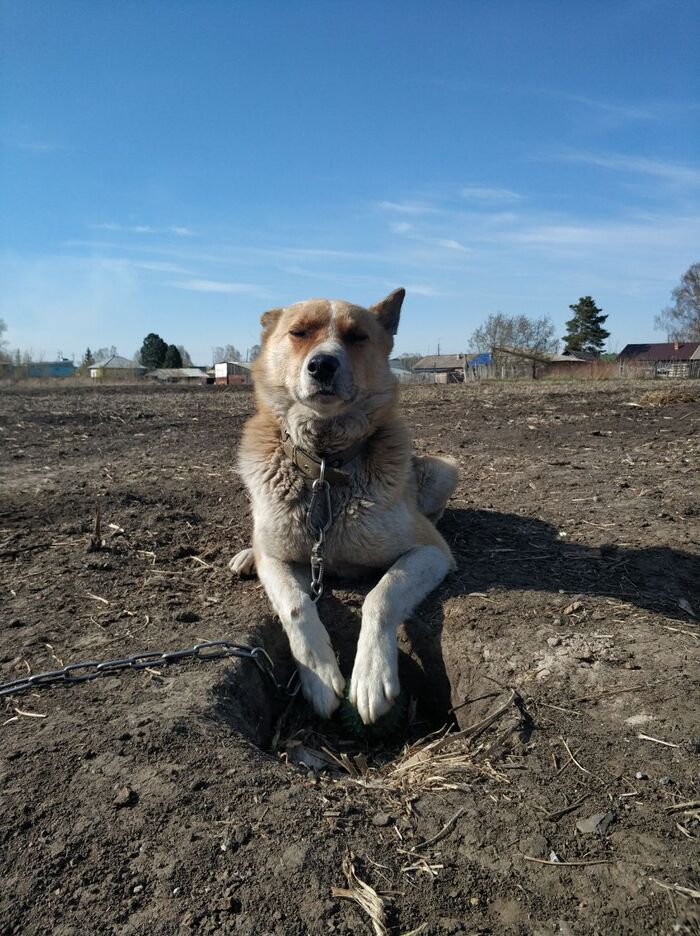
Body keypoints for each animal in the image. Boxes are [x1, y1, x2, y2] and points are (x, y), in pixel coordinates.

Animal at [230, 288, 460, 728]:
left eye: (357, 337)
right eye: (299, 332)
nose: (322, 365)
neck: (324, 464)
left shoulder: (432, 552)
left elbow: (381, 595)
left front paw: (371, 676)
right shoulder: (279, 558)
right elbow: (296, 604)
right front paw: (319, 676)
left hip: (445, 469)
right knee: (258, 540)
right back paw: (246, 554)